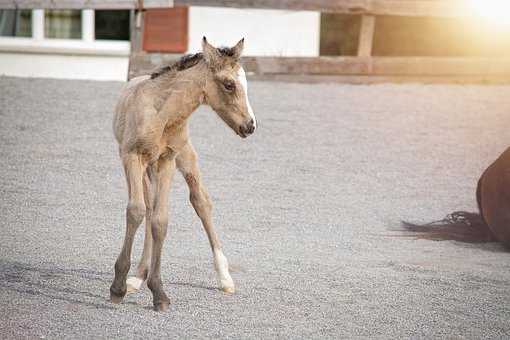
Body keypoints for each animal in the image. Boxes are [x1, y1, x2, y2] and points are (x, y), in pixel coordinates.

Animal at [110, 37, 256, 310]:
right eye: (229, 84)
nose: (250, 126)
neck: (160, 114)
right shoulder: (131, 156)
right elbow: (137, 211)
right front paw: (118, 286)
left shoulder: (167, 159)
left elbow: (160, 220)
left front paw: (159, 292)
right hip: (145, 167)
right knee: (147, 206)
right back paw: (137, 277)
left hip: (184, 156)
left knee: (200, 201)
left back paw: (224, 277)